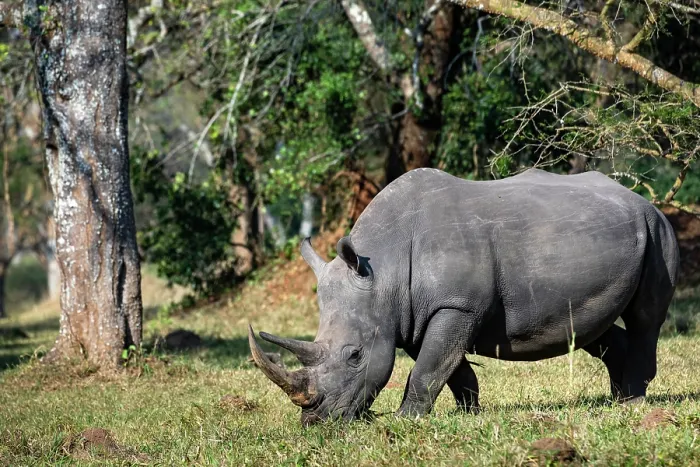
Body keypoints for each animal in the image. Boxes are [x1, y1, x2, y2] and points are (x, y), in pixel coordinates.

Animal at [249, 168, 679, 426]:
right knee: (595, 328)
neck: (383, 272)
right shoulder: (419, 313)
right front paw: (468, 412)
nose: (317, 421)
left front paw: (405, 420)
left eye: (354, 355)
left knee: (645, 319)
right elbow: (447, 364)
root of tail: (641, 197)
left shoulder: (456, 304)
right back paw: (618, 399)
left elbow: (429, 366)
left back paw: (634, 403)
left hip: (657, 229)